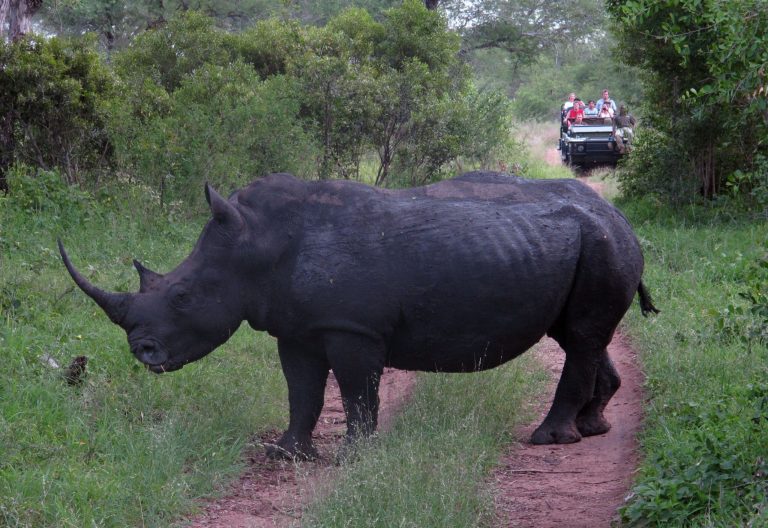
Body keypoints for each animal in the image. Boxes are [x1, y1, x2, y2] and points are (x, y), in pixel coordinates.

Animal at [59, 171, 658, 460]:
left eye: (183, 296)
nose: (143, 352)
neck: (255, 244)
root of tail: (621, 216)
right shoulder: (298, 328)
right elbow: (302, 390)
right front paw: (287, 455)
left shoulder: (351, 328)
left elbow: (355, 391)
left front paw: (354, 456)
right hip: (588, 243)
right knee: (580, 336)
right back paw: (591, 428)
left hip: (601, 245)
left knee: (580, 336)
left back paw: (549, 440)